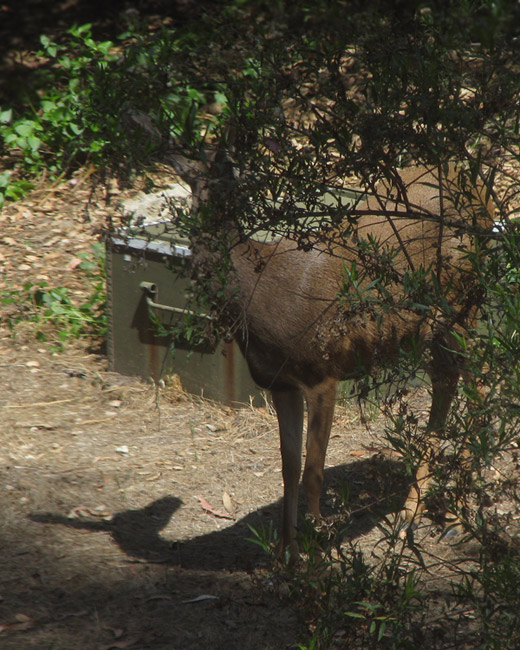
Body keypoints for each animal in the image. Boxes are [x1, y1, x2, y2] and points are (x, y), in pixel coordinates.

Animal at [170, 153, 492, 556]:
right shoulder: (280, 383)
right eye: (193, 180)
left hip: (460, 303)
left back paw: (459, 517)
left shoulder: (322, 372)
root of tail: (479, 193)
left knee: (480, 380)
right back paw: (411, 515)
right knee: (448, 381)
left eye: (225, 180)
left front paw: (315, 545)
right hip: (431, 328)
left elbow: (313, 471)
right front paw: (285, 551)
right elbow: (288, 468)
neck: (255, 299)